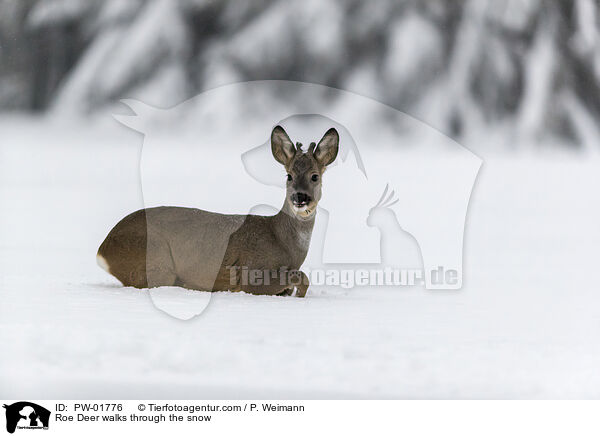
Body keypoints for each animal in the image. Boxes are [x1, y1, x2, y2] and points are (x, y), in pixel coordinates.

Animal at [94, 124, 338, 298]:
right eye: (289, 176)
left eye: (315, 176)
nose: (300, 198)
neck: (283, 243)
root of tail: (102, 250)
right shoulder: (252, 272)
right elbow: (302, 278)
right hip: (155, 259)